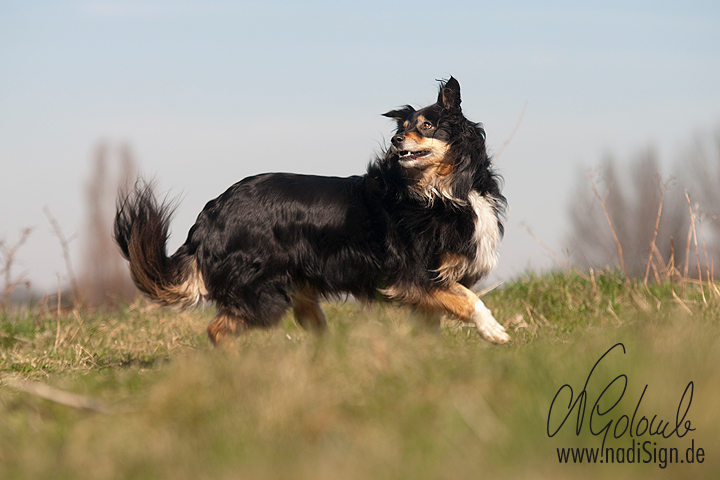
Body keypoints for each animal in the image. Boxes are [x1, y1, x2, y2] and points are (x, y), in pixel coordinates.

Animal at [115, 76, 510, 344]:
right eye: (404, 128)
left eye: (427, 126)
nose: (396, 140)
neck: (440, 189)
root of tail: (209, 215)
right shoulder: (414, 276)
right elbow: (469, 300)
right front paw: (494, 331)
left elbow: (437, 320)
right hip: (265, 290)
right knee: (218, 329)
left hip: (298, 288)